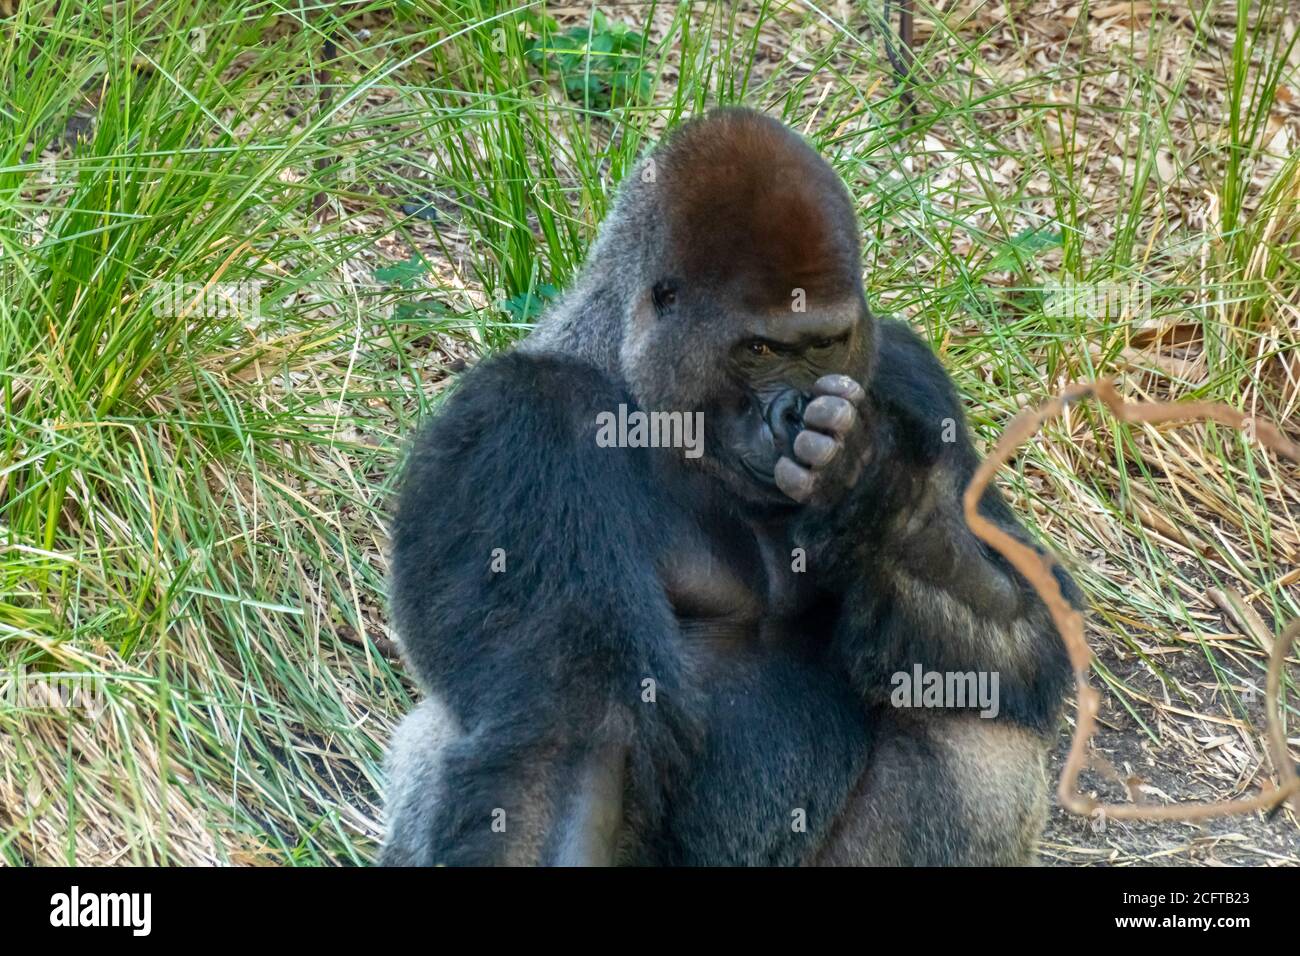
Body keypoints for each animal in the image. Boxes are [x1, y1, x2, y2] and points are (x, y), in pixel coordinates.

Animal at [383, 107, 1076, 866]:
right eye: (760, 350)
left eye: (825, 342)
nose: (790, 414)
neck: (641, 397)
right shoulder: (515, 426)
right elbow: (580, 741)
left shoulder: (909, 372)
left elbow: (1033, 625)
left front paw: (885, 503)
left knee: (977, 720)